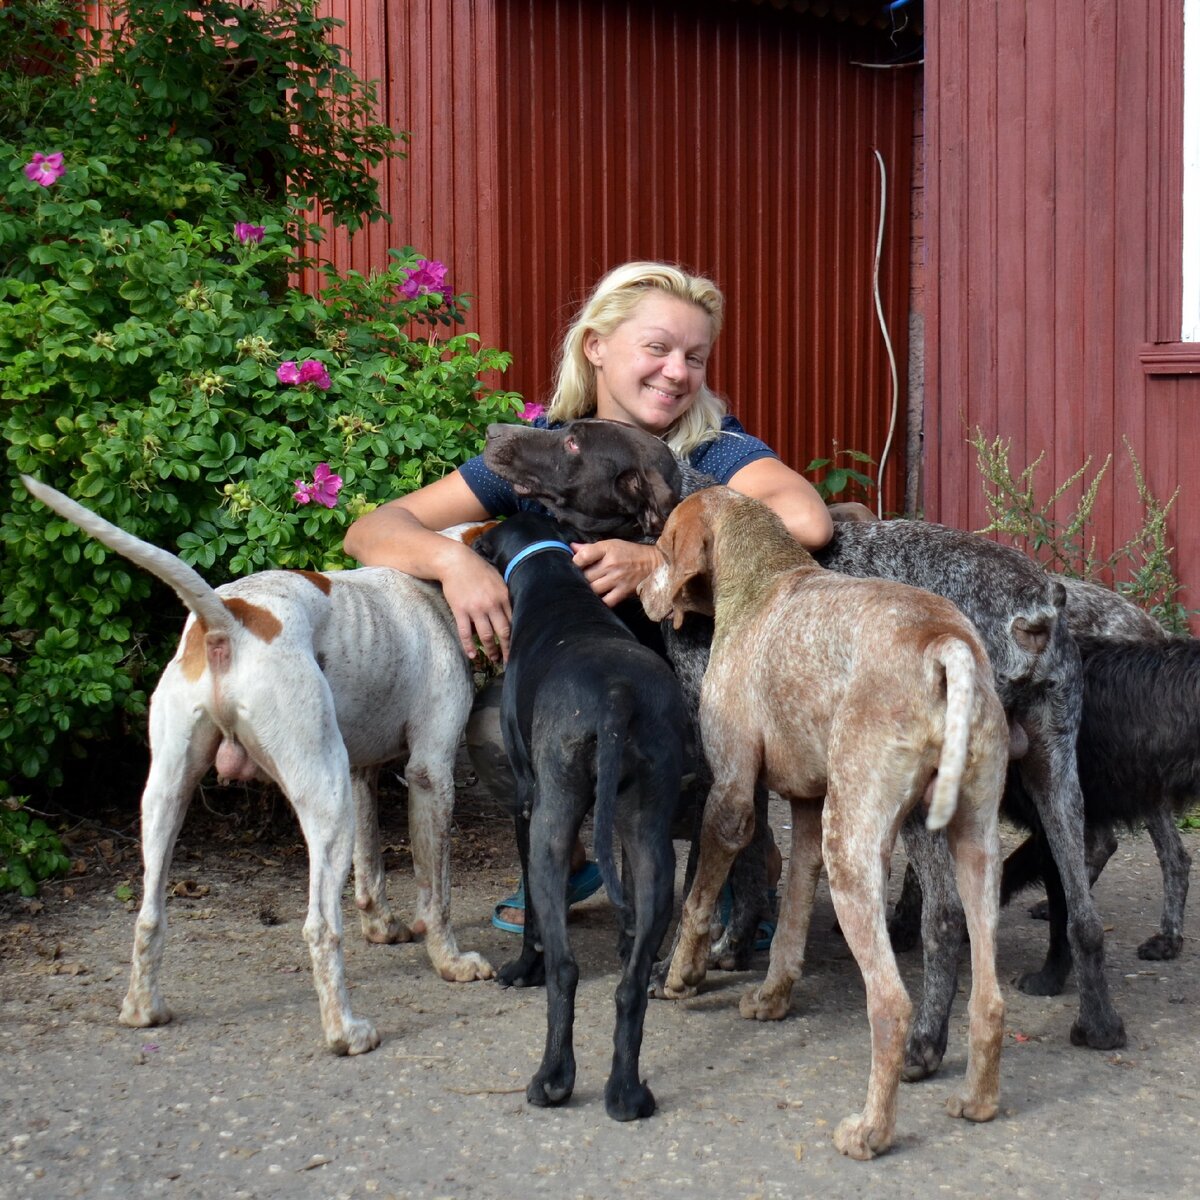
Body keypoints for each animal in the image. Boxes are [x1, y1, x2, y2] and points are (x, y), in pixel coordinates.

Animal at [18, 472, 489, 1056]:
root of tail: (228, 624)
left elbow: (371, 867)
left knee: (149, 915)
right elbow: (437, 892)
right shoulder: (431, 774)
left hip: (168, 796)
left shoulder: (362, 772)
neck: (437, 585)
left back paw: (143, 1010)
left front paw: (382, 927)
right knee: (319, 927)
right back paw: (345, 1032)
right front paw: (451, 962)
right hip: (325, 799)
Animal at [472, 511, 691, 1118]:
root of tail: (616, 694)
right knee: (631, 985)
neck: (550, 572)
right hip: (649, 830)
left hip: (552, 821)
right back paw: (627, 1094)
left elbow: (534, 924)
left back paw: (552, 1079)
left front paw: (520, 969)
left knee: (563, 968)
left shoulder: (527, 801)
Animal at [638, 487, 1012, 1161]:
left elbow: (699, 902)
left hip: (855, 849)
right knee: (990, 999)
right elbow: (788, 922)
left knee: (890, 1003)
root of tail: (942, 642)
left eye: (659, 543)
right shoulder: (807, 812)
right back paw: (977, 1101)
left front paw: (680, 976)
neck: (763, 581)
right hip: (972, 843)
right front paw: (771, 998)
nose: (639, 591)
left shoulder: (731, 796)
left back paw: (870, 1132)